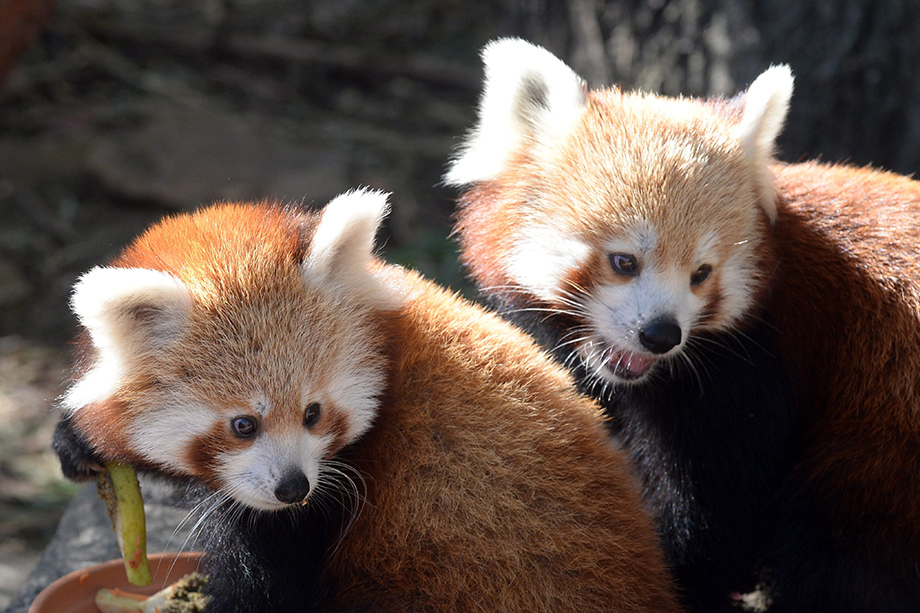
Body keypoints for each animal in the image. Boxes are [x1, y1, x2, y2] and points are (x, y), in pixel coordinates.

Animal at [450, 39, 920, 612]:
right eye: (624, 261)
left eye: (701, 273)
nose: (661, 334)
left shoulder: (745, 377)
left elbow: (712, 518)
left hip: (883, 433)